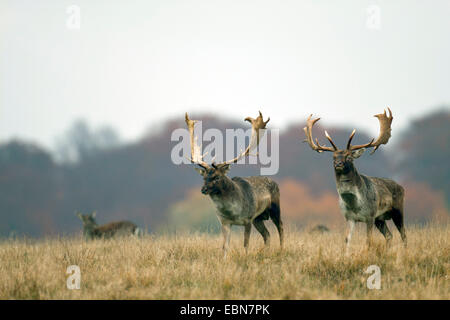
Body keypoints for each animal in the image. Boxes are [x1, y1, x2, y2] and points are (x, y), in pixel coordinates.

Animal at [185, 112, 284, 258]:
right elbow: (225, 246)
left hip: (274, 208)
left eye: (217, 177)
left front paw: (246, 257)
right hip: (258, 219)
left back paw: (282, 249)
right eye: (204, 177)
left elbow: (245, 244)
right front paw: (224, 259)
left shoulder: (248, 219)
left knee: (280, 227)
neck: (232, 212)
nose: (203, 189)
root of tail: (275, 182)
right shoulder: (225, 222)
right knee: (267, 235)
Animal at [302, 109, 408, 254]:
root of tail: (401, 186)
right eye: (333, 157)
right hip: (380, 219)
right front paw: (345, 255)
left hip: (398, 210)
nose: (338, 164)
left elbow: (368, 241)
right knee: (389, 235)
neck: (355, 204)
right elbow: (347, 240)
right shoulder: (349, 218)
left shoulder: (370, 216)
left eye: (349, 157)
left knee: (404, 235)